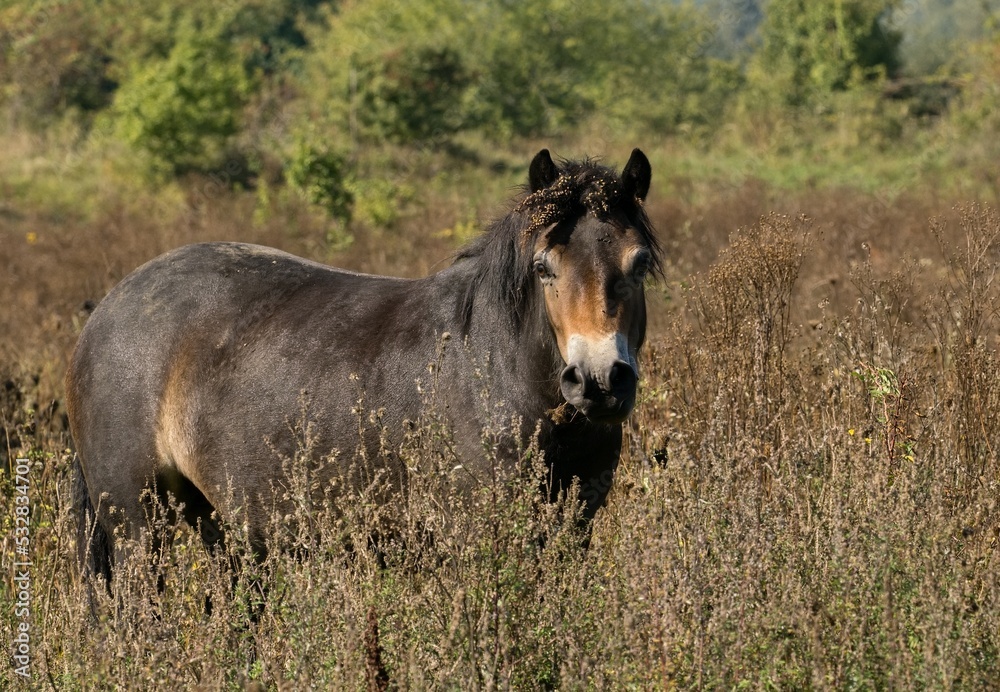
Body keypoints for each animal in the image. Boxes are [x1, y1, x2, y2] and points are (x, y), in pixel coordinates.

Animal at [67, 148, 661, 582]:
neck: (494, 371)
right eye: (543, 268)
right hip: (136, 525)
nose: (598, 381)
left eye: (639, 264)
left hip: (223, 530)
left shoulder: (570, 532)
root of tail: (105, 310)